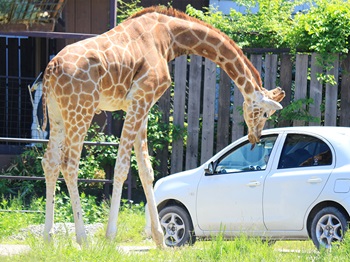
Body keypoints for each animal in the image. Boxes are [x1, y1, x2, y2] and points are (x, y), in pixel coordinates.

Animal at [42, 6, 286, 248]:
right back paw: (82, 238)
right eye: (265, 113)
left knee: (50, 162)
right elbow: (122, 168)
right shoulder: (140, 99)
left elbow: (146, 170)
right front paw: (110, 236)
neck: (168, 37)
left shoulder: (142, 105)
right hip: (81, 109)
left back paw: (49, 238)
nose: (255, 137)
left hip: (57, 114)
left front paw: (159, 239)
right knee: (69, 164)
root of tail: (51, 69)